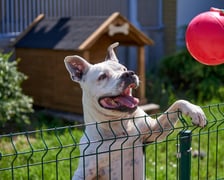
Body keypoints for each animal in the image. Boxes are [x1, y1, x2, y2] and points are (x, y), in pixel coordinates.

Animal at [64, 42, 206, 180]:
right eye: (102, 76)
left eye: (124, 68)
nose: (129, 73)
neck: (118, 125)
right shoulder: (85, 171)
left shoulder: (155, 130)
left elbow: (177, 102)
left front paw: (195, 110)